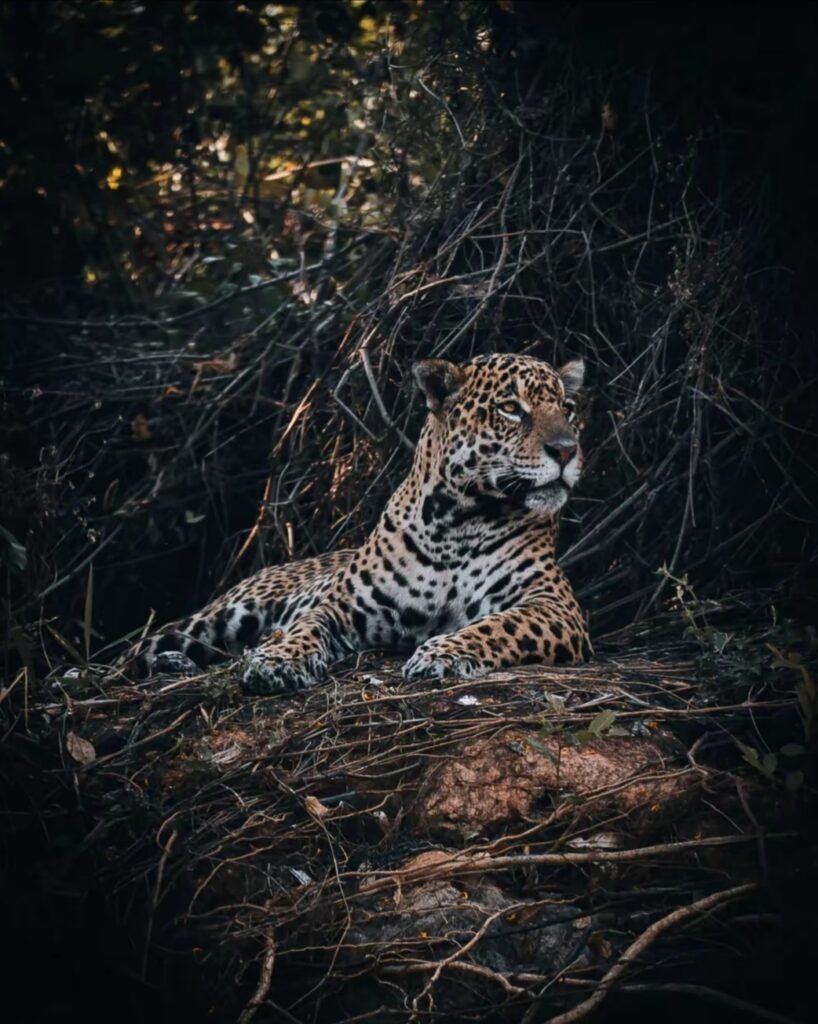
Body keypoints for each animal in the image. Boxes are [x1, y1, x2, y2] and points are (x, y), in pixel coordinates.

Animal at [121, 352, 591, 693]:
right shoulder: (342, 605)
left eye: (567, 408)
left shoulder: (554, 606)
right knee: (137, 652)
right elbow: (305, 627)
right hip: (222, 614)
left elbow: (497, 625)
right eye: (511, 408)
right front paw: (277, 661)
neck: (458, 522)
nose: (567, 450)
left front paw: (440, 654)